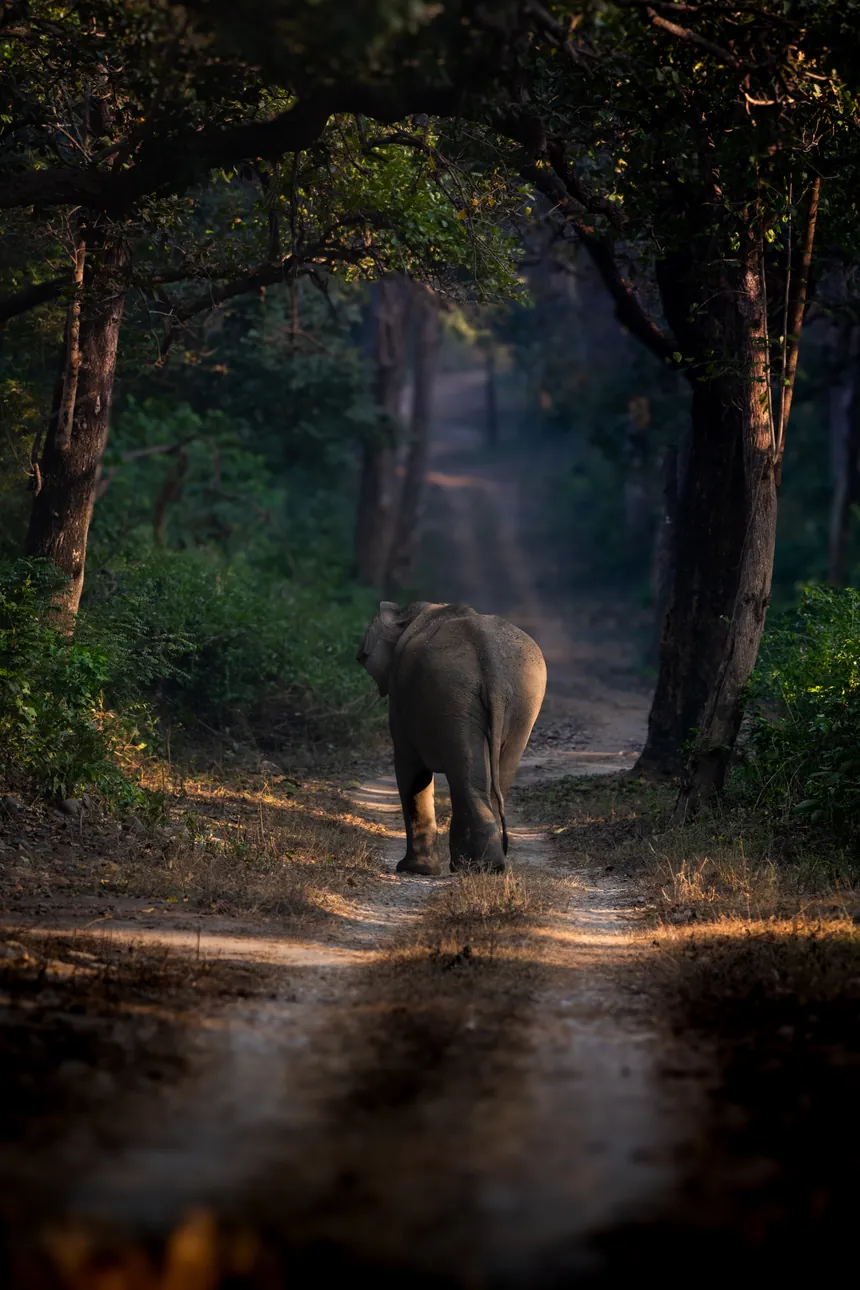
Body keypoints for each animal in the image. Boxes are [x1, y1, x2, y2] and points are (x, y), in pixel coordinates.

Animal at [357, 600, 547, 875]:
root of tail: (487, 650)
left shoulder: (400, 700)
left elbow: (409, 766)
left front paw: (414, 870)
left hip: (453, 693)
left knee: (464, 774)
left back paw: (474, 866)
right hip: (522, 697)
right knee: (495, 775)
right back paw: (487, 866)